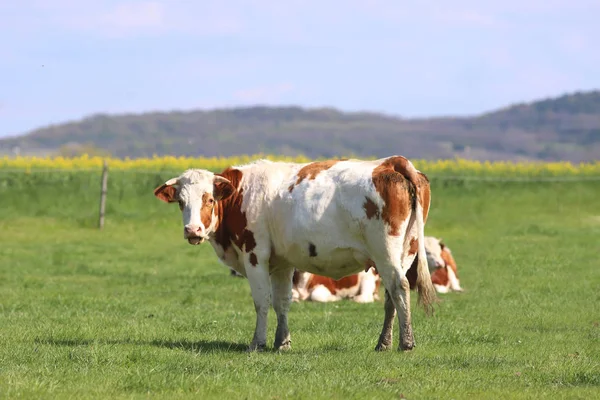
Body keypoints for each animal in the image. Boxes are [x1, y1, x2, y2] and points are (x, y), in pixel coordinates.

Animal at [154, 155, 436, 350]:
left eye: (209, 199)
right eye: (181, 202)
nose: (192, 230)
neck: (241, 194)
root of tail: (391, 163)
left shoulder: (255, 255)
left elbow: (262, 301)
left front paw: (258, 343)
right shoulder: (282, 263)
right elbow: (282, 302)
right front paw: (282, 342)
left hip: (385, 251)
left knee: (399, 288)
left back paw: (406, 343)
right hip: (405, 252)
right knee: (392, 297)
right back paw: (383, 343)